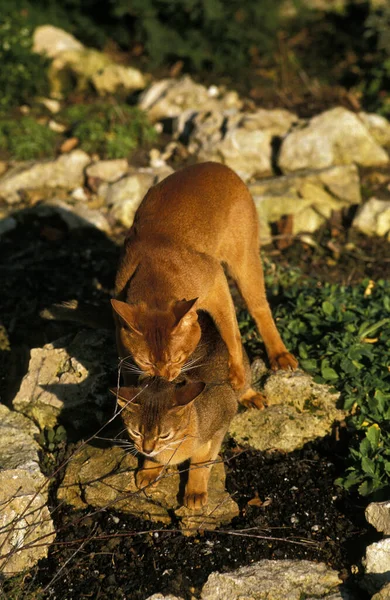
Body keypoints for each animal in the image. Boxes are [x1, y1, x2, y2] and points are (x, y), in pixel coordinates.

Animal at [111, 162, 298, 392]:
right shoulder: (119, 325)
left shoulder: (216, 281)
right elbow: (125, 368)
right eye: (145, 362)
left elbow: (231, 332)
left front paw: (237, 375)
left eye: (176, 358)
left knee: (259, 308)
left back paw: (279, 354)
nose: (164, 377)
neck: (154, 274)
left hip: (244, 260)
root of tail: (218, 166)